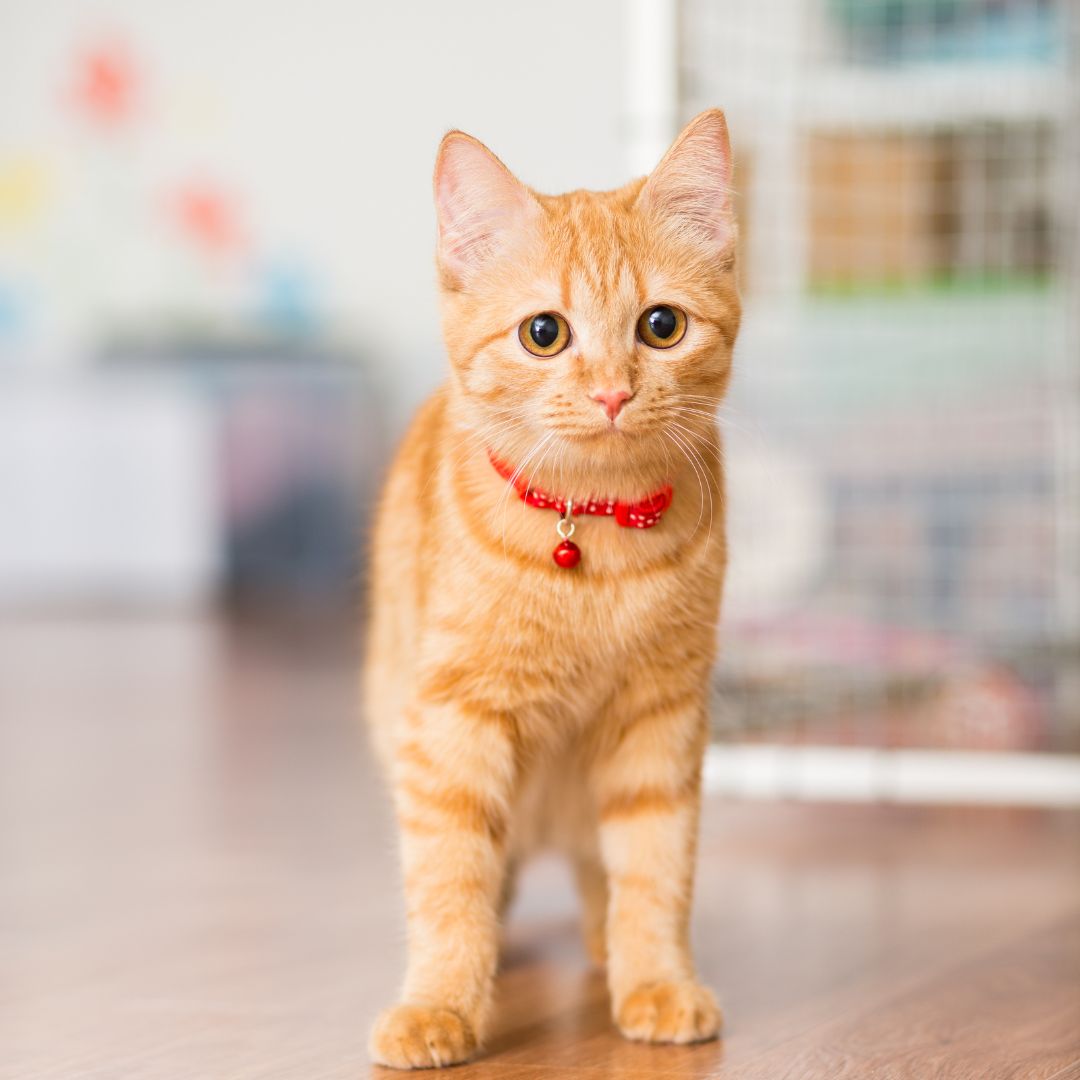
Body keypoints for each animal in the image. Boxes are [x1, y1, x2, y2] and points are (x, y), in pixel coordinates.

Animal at [367, 109, 738, 1071]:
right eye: (544, 333)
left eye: (661, 325)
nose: (612, 393)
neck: (594, 534)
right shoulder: (451, 721)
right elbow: (450, 878)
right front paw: (440, 1004)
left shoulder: (662, 718)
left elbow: (655, 866)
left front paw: (657, 982)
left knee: (595, 871)